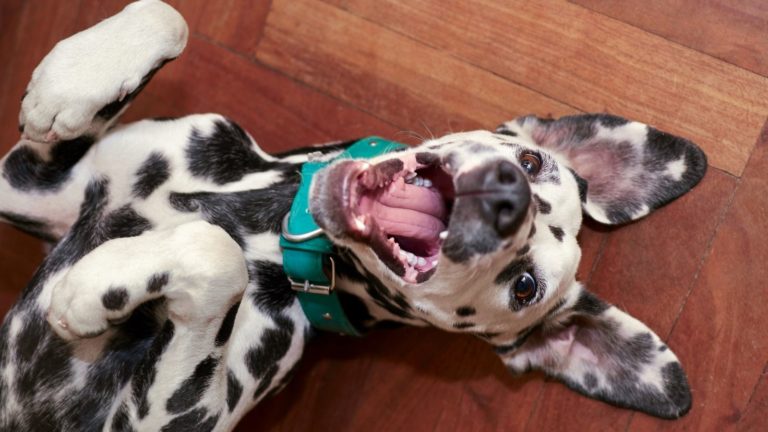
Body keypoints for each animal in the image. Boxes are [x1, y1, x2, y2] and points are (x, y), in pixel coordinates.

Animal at [0, 1, 708, 430]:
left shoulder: (168, 417)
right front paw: (70, 83)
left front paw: (93, 290)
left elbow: (214, 254)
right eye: (532, 163)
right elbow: (168, 15)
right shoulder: (28, 182)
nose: (508, 195)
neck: (259, 217)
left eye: (526, 286)